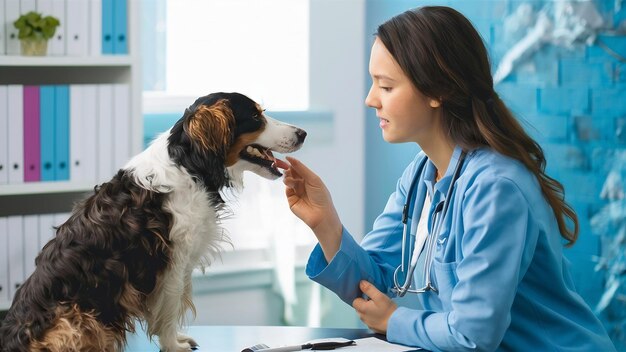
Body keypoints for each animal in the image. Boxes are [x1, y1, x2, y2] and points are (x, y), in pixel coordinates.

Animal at [0, 92, 308, 350]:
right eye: (255, 116)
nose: (303, 133)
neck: (189, 165)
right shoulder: (172, 262)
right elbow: (169, 309)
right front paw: (173, 345)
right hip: (76, 316)